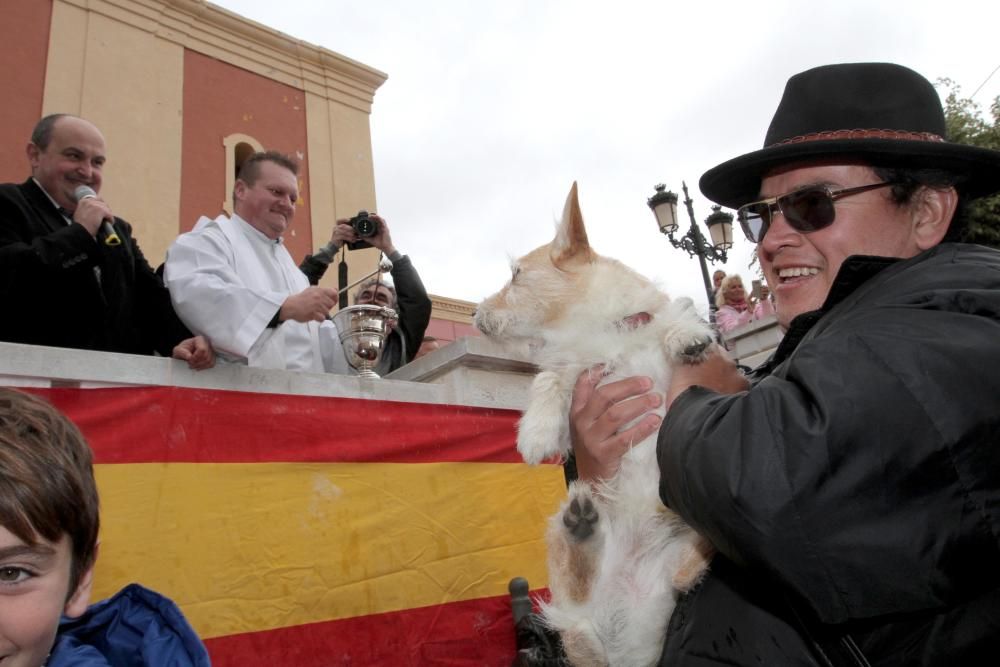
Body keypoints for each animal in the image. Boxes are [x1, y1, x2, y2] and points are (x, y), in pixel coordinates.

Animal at [474, 183, 712, 667]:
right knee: (580, 577)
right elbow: (548, 380)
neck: (595, 333)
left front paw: (687, 336)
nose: (474, 314)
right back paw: (581, 527)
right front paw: (534, 433)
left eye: (516, 275)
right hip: (569, 589)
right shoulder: (573, 378)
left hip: (673, 557)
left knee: (689, 570)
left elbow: (671, 317)